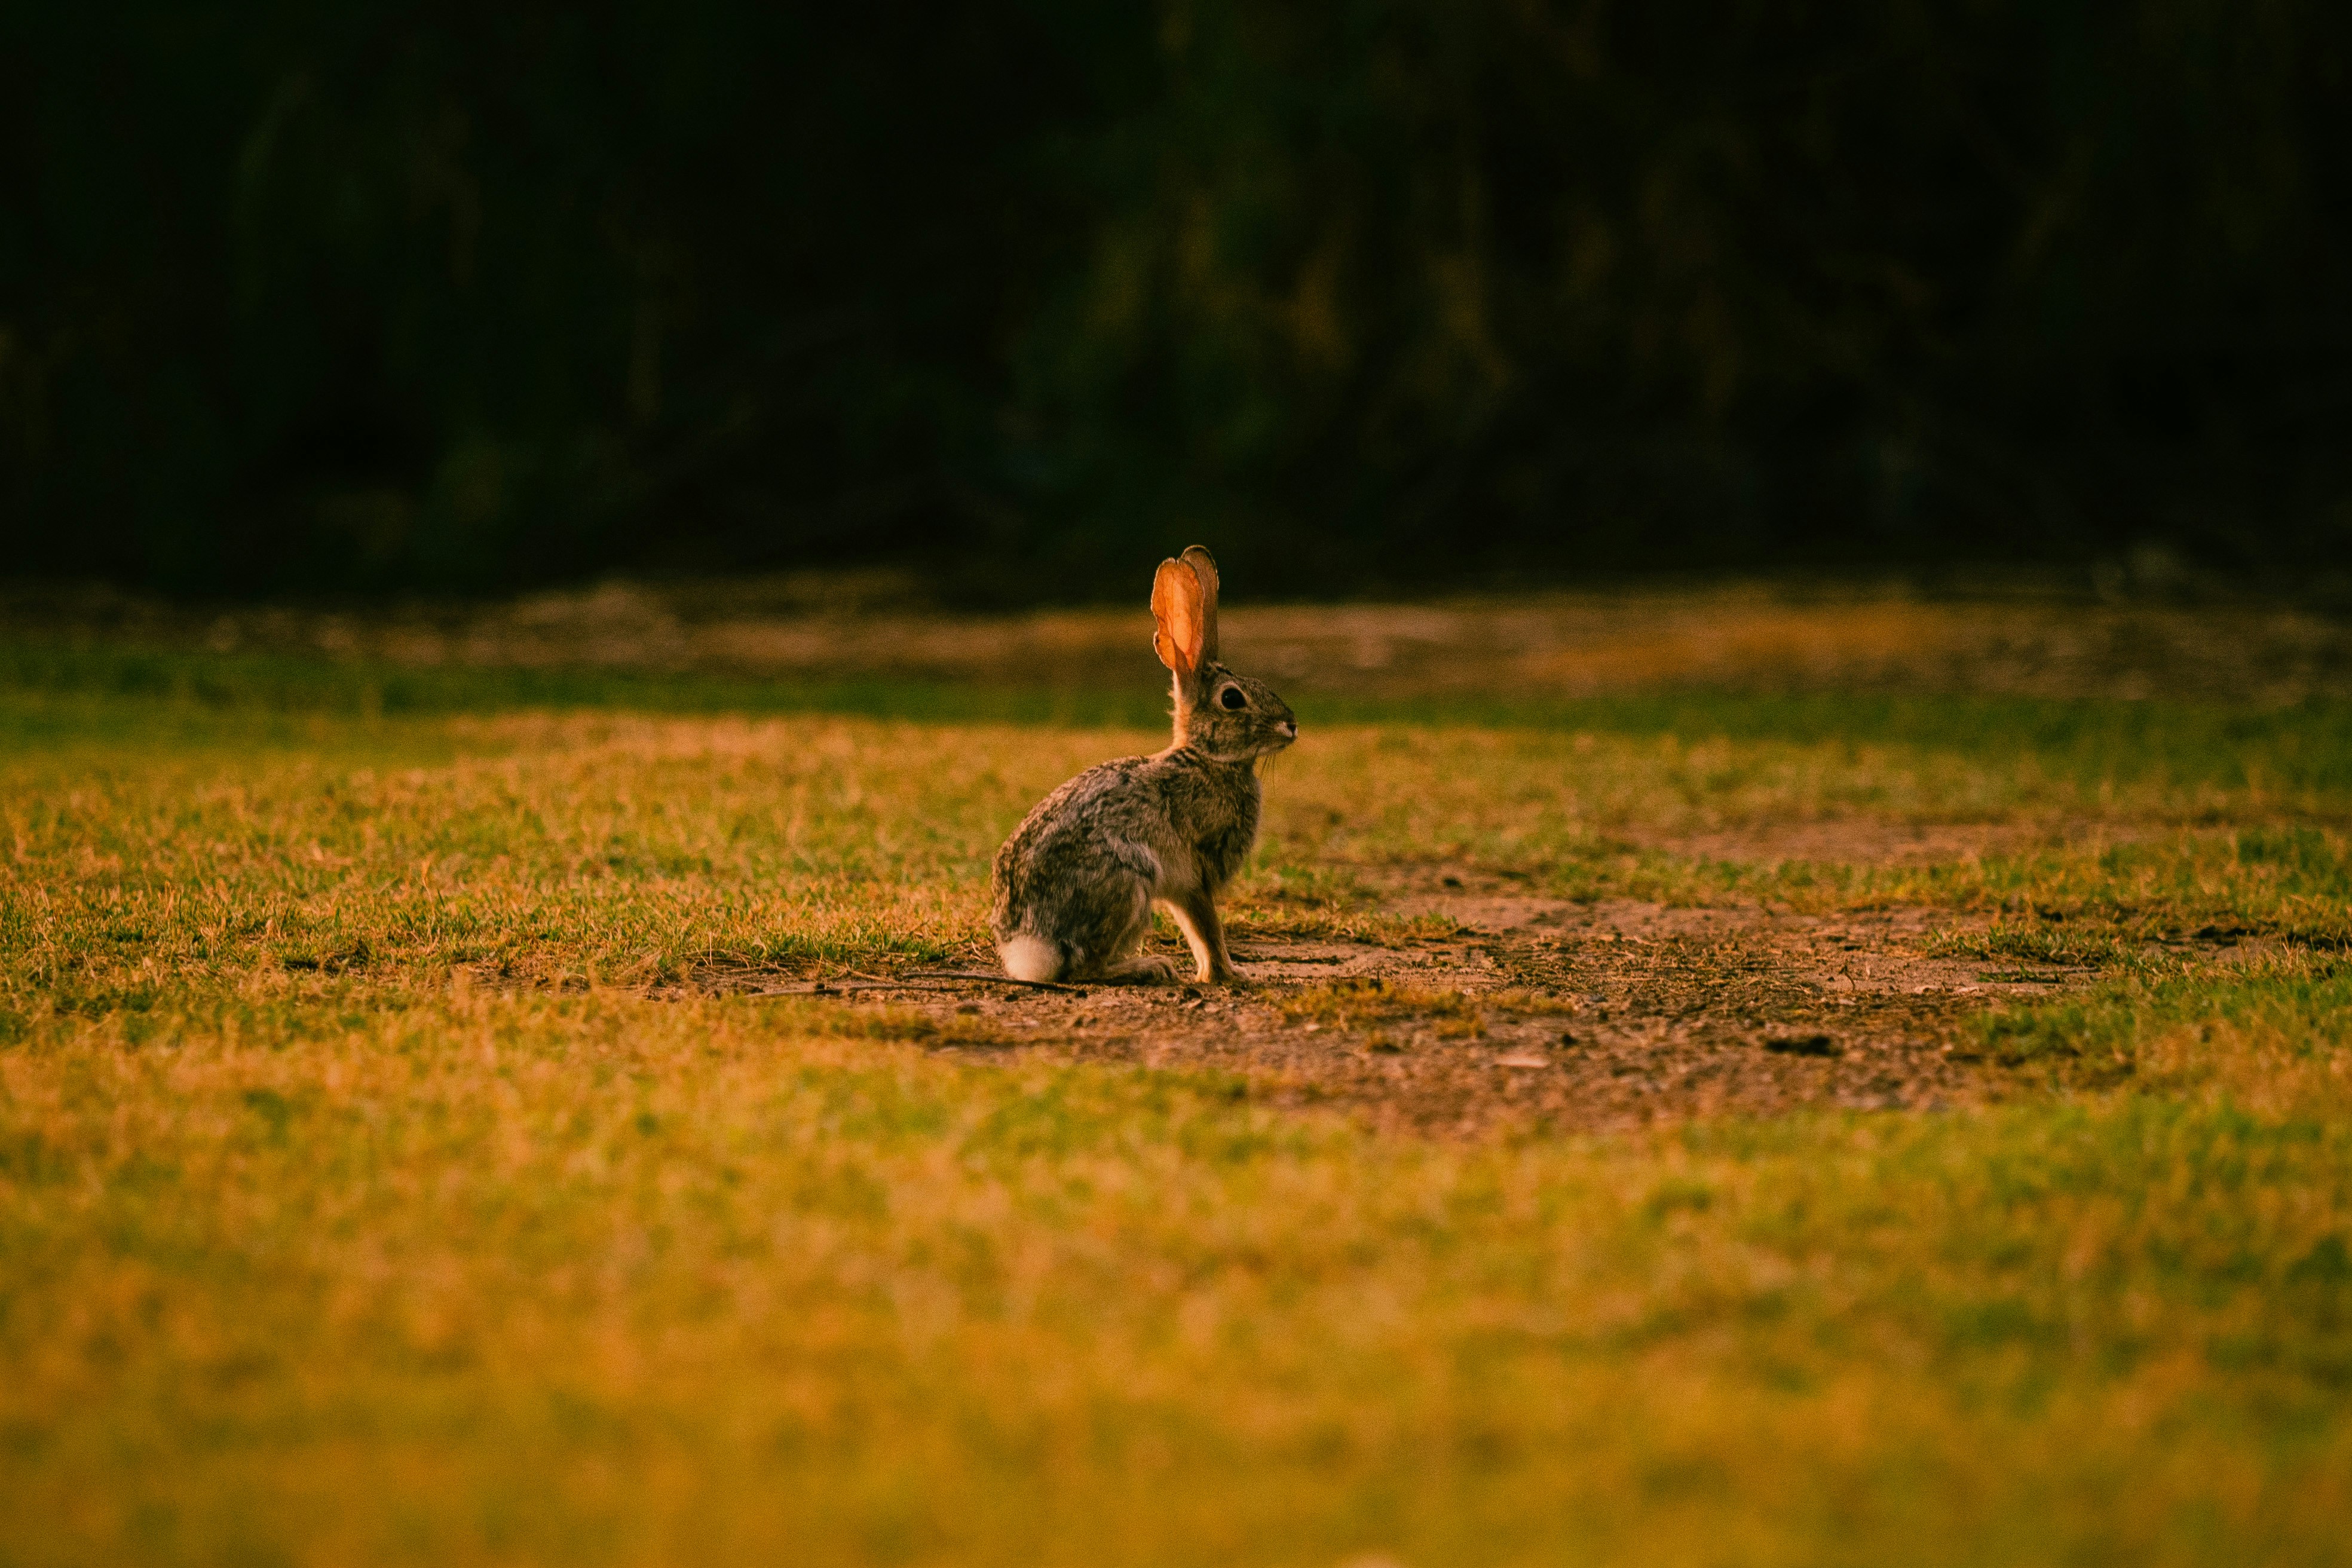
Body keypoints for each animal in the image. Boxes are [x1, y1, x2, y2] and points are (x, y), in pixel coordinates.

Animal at [990, 546, 1297, 985]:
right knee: (1085, 968)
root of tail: (1030, 946)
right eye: (1232, 699)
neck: (1208, 759)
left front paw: (1212, 974)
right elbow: (1208, 928)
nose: (1291, 725)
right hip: (1130, 881)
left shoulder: (1183, 887)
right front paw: (1228, 975)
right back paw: (1151, 967)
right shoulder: (1196, 873)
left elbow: (1196, 930)